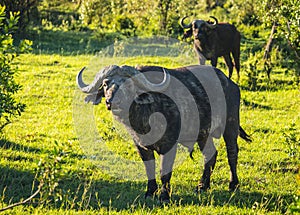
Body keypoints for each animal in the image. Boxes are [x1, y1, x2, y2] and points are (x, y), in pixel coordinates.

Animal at [77, 64, 251, 202]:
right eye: (106, 84)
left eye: (128, 85)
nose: (111, 102)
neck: (147, 114)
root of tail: (231, 84)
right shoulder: (141, 146)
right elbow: (149, 169)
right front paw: (150, 192)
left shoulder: (169, 145)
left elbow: (164, 172)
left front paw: (164, 196)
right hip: (204, 134)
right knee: (210, 154)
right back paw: (203, 185)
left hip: (231, 125)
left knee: (232, 153)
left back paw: (233, 184)